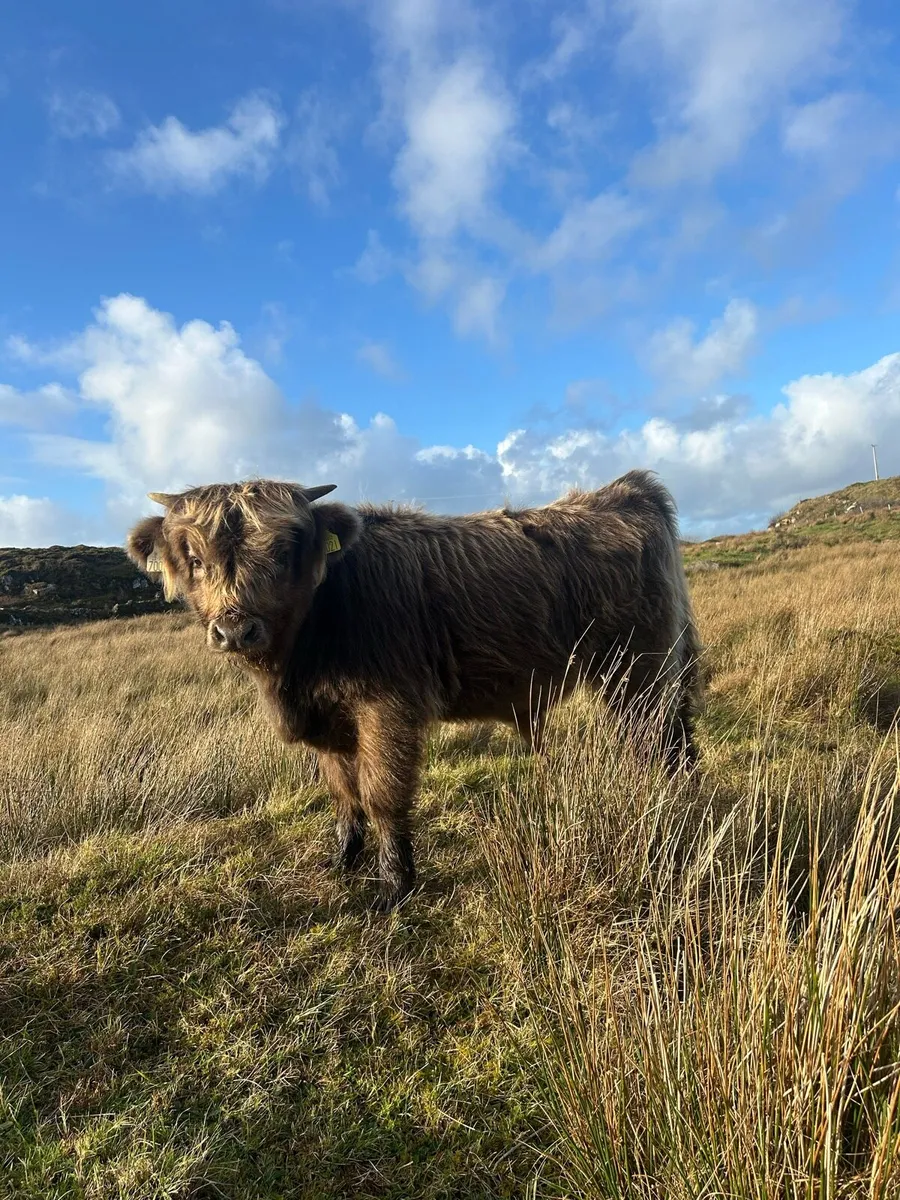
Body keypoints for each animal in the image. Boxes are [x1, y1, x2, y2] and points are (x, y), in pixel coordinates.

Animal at [127, 471, 701, 910]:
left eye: (284, 551)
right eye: (194, 558)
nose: (235, 630)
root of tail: (625, 490)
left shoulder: (387, 710)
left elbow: (382, 795)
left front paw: (394, 886)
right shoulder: (330, 724)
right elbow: (345, 795)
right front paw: (343, 860)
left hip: (638, 669)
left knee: (659, 742)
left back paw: (663, 807)